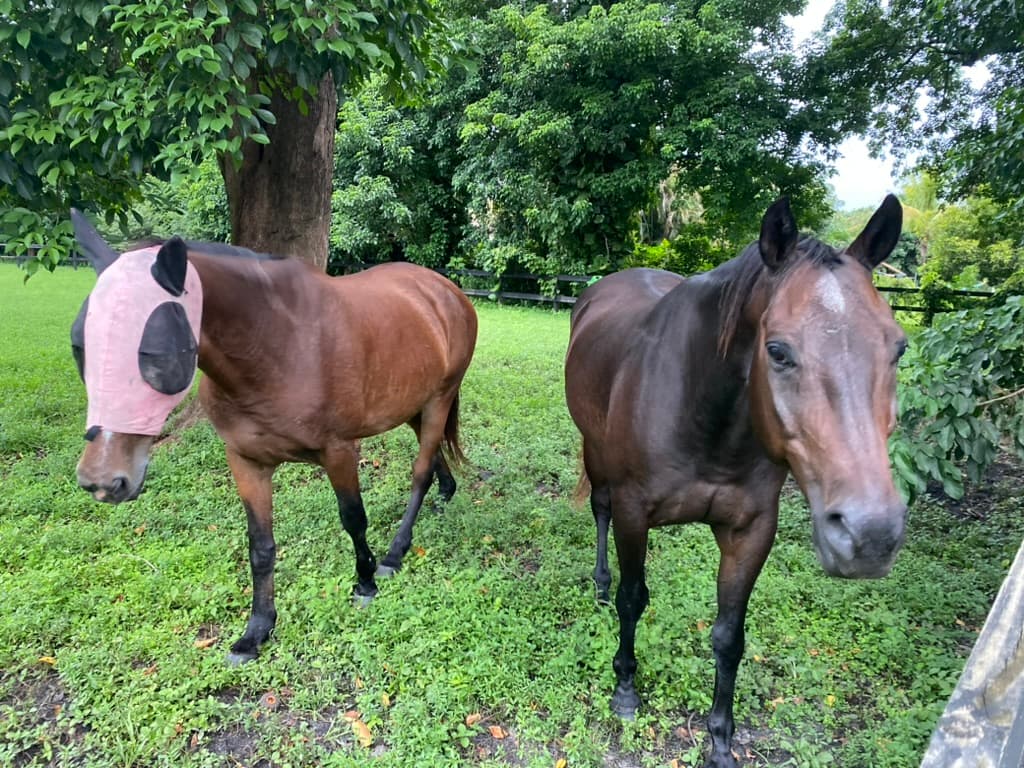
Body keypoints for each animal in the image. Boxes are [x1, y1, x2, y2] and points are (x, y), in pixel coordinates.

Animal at [68, 209, 478, 664]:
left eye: (153, 351)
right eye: (79, 345)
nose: (103, 480)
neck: (275, 345)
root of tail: (446, 291)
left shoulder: (339, 451)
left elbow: (353, 519)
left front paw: (366, 582)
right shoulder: (246, 461)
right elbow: (260, 546)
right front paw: (257, 630)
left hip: (439, 399)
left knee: (420, 471)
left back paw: (395, 552)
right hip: (412, 404)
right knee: (434, 454)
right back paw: (445, 492)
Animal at [564, 195, 908, 767]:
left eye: (898, 348)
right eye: (778, 350)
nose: (870, 535)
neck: (704, 412)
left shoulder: (750, 530)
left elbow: (729, 636)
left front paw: (720, 741)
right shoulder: (635, 512)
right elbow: (635, 598)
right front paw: (626, 689)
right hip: (596, 454)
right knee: (600, 511)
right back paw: (600, 584)